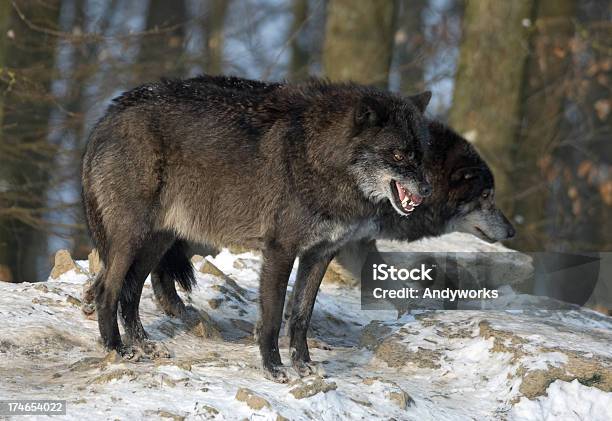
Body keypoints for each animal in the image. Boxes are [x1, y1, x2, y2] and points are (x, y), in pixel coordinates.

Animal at [81, 74, 432, 380]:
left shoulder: (320, 255)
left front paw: (304, 366)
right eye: (398, 154)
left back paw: (143, 345)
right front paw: (275, 369)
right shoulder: (280, 250)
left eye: (421, 154)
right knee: (107, 289)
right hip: (132, 238)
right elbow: (274, 317)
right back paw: (118, 349)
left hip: (157, 242)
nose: (427, 190)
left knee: (130, 291)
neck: (318, 155)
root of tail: (107, 116)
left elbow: (301, 316)